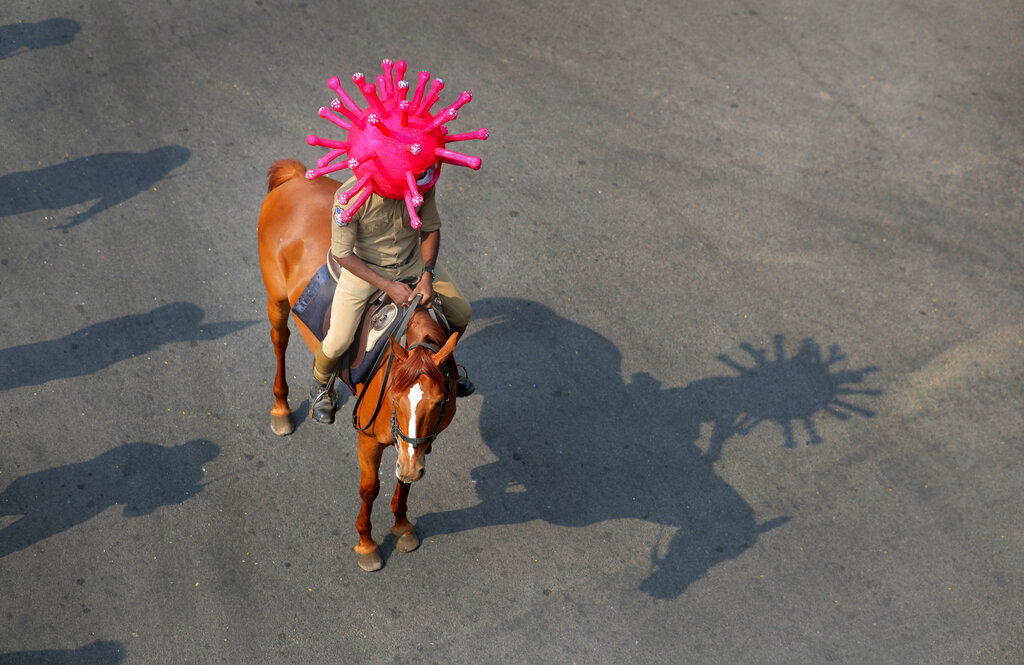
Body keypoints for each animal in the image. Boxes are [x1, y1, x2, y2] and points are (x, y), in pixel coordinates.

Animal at [256, 159, 459, 571]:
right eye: (394, 400)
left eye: (436, 404)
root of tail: (297, 177)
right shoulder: (369, 438)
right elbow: (370, 487)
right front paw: (367, 543)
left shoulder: (418, 441)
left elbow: (404, 477)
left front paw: (402, 524)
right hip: (277, 300)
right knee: (281, 341)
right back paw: (283, 408)